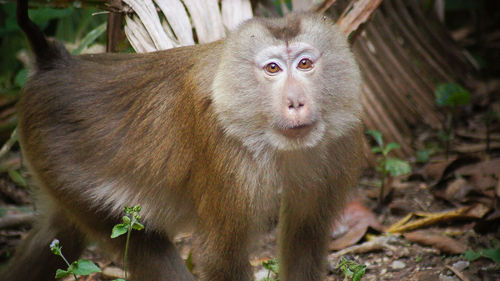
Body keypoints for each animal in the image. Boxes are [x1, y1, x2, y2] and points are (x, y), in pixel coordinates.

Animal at [1, 0, 366, 280]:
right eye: (273, 69)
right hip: (62, 165)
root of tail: (56, 64)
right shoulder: (226, 158)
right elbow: (222, 257)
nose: (295, 102)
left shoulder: (339, 145)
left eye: (304, 64)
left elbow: (305, 242)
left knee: (57, 233)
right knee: (137, 240)